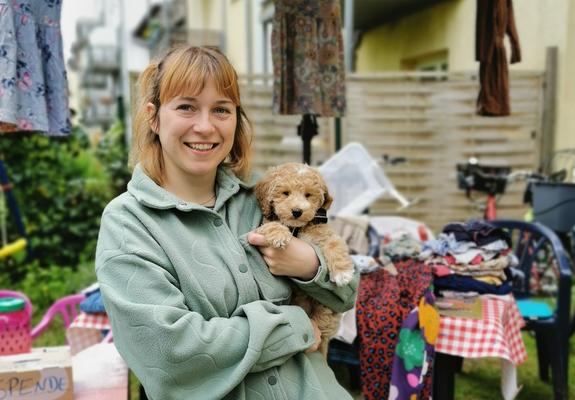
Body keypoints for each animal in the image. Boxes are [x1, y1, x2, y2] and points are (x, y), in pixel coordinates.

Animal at [255, 162, 356, 356]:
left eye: (308, 195)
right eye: (285, 193)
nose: (297, 211)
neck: (297, 228)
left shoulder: (326, 235)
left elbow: (335, 246)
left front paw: (343, 273)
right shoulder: (261, 227)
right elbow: (273, 224)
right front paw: (279, 235)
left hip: (328, 311)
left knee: (324, 321)